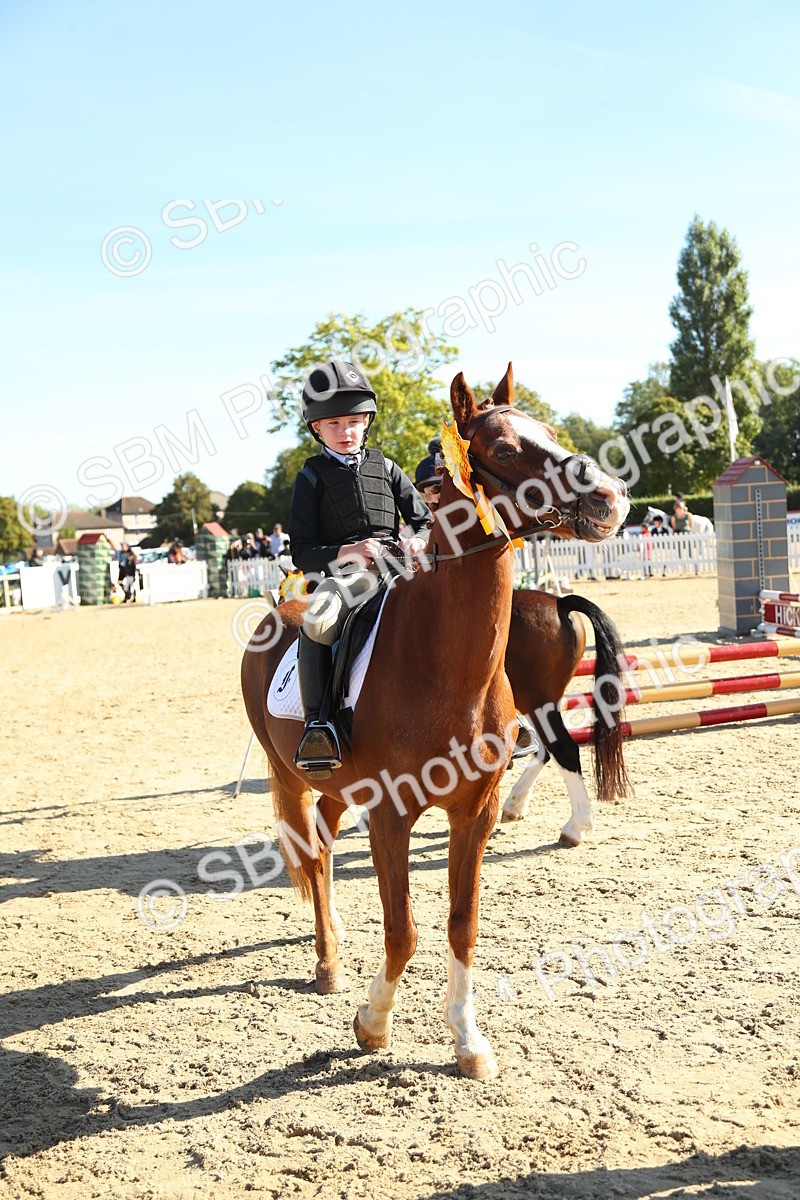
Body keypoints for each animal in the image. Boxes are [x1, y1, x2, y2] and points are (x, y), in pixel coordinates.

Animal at [500, 589, 630, 839]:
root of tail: (559, 603)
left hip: (535, 697)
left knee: (562, 749)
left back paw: (577, 827)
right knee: (545, 750)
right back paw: (514, 804)